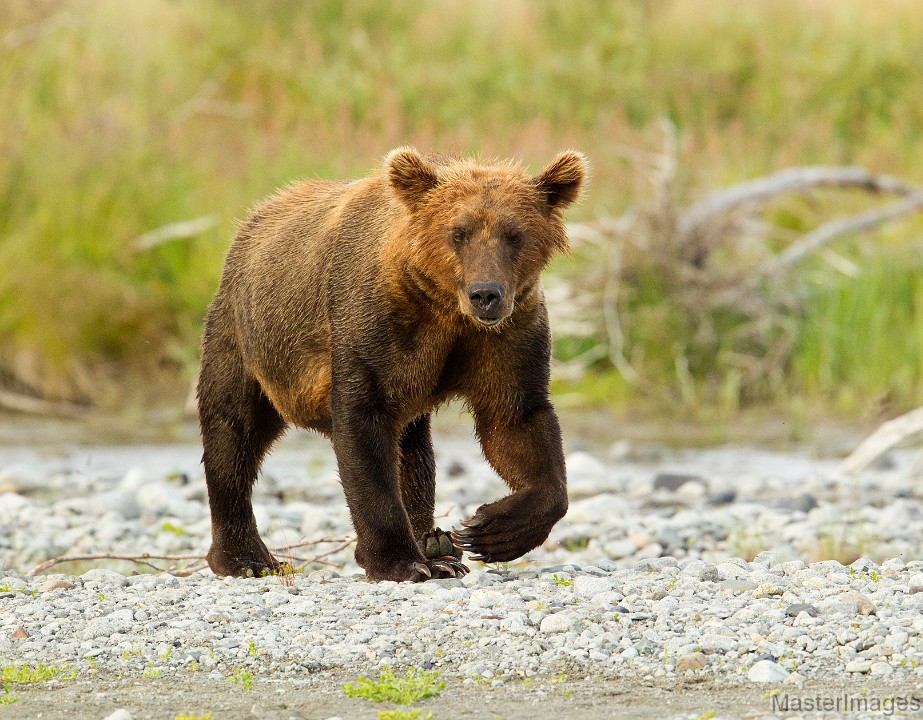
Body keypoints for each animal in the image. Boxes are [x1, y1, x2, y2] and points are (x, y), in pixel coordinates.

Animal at [197, 149, 584, 584]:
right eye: (458, 233)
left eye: (515, 234)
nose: (486, 294)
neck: (445, 308)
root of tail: (255, 217)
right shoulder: (375, 326)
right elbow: (365, 426)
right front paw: (399, 561)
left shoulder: (506, 334)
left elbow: (516, 420)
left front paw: (490, 530)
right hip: (248, 335)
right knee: (233, 430)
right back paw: (245, 557)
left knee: (413, 453)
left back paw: (437, 547)